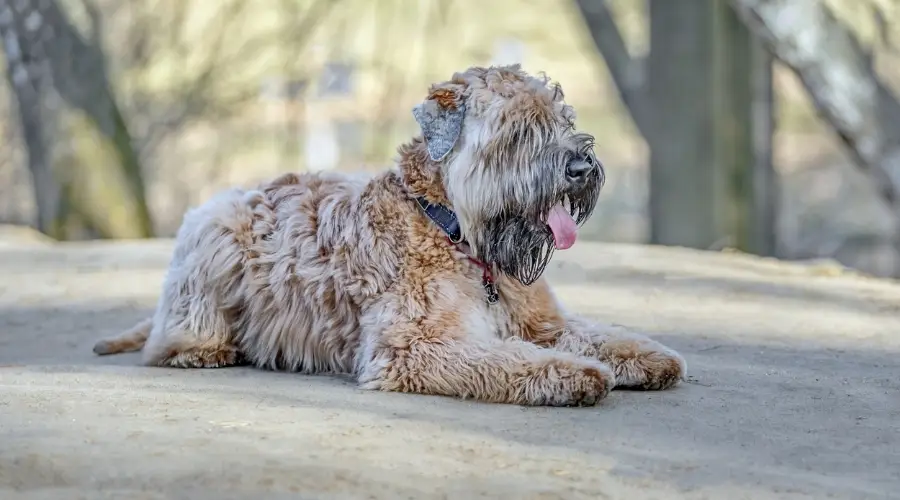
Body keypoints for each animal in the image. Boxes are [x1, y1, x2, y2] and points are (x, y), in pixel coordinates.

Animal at [91, 64, 684, 406]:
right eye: (518, 130)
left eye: (564, 119)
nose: (582, 167)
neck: (455, 232)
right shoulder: (418, 345)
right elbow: (511, 360)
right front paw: (576, 374)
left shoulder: (540, 322)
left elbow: (596, 334)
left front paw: (649, 356)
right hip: (214, 230)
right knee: (174, 337)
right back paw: (208, 349)